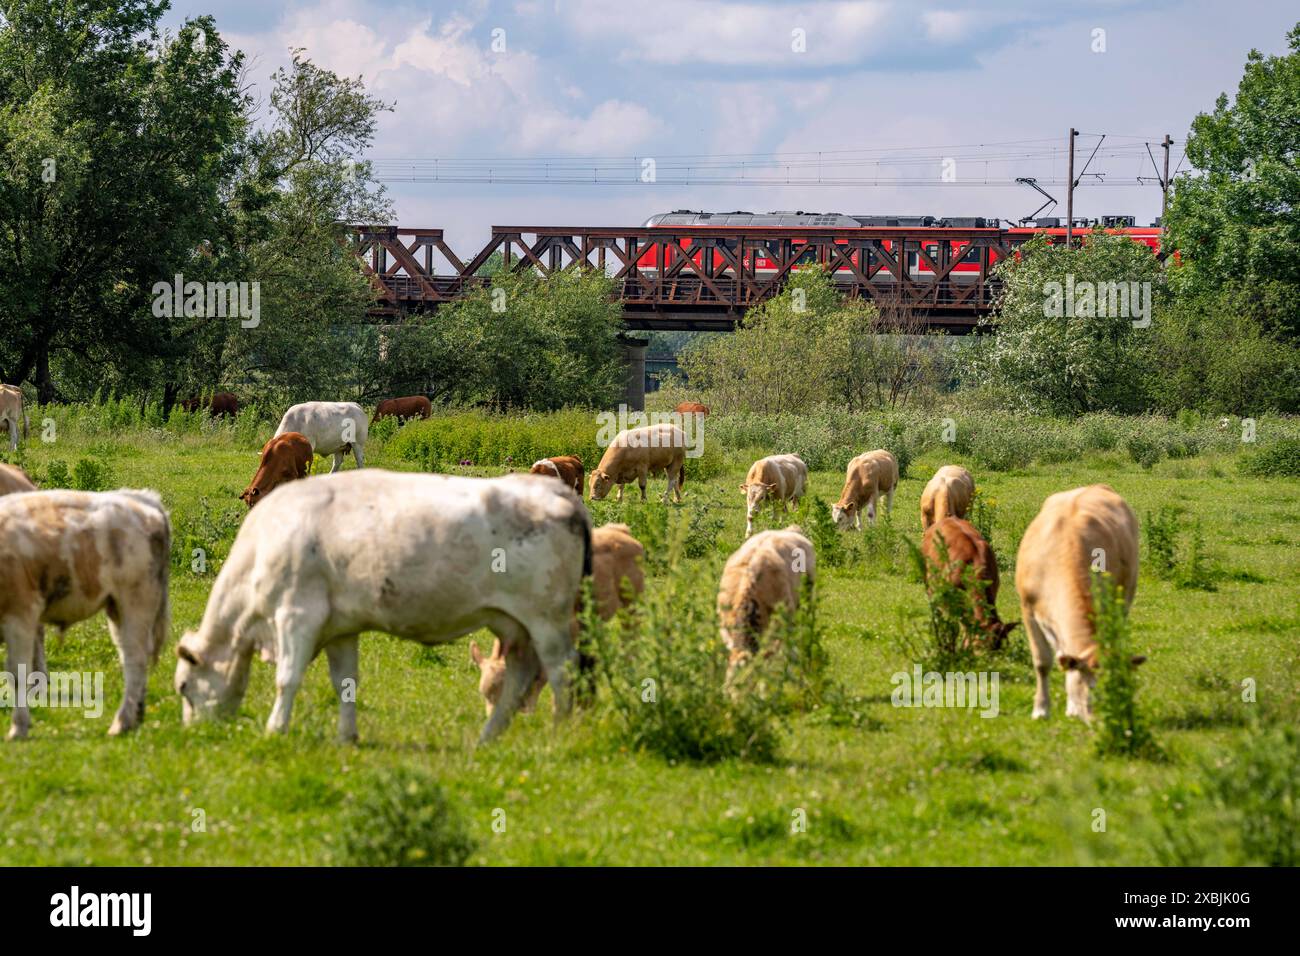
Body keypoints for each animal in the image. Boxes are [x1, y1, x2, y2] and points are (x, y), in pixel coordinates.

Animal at [0, 489, 171, 743]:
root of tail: (141, 499)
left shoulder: (21, 613)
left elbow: (18, 673)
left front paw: (18, 728)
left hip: (136, 601)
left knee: (135, 660)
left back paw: (122, 722)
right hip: (117, 609)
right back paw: (135, 716)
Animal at [175, 470, 592, 749]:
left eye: (183, 686)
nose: (194, 731)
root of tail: (555, 490)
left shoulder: (297, 614)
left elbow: (287, 678)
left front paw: (275, 729)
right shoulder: (340, 628)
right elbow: (345, 683)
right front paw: (347, 736)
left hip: (548, 620)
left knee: (562, 672)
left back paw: (558, 733)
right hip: (516, 625)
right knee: (520, 676)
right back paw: (485, 739)